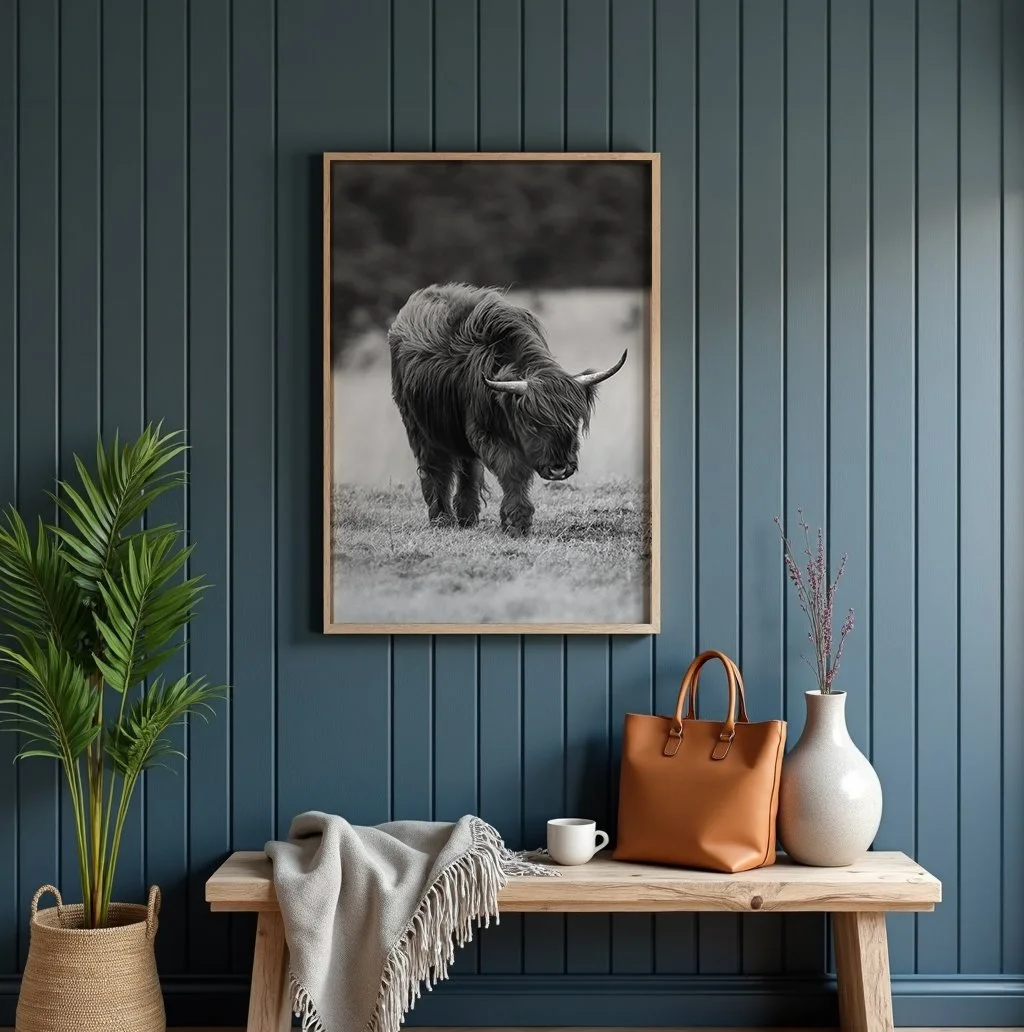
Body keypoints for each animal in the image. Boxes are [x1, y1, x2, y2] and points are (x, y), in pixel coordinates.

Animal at [388, 282, 627, 537]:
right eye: (532, 424)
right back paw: (442, 519)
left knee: (468, 468)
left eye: (573, 421)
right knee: (435, 468)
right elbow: (513, 470)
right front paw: (517, 523)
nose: (559, 469)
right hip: (419, 427)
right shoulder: (486, 432)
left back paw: (467, 517)